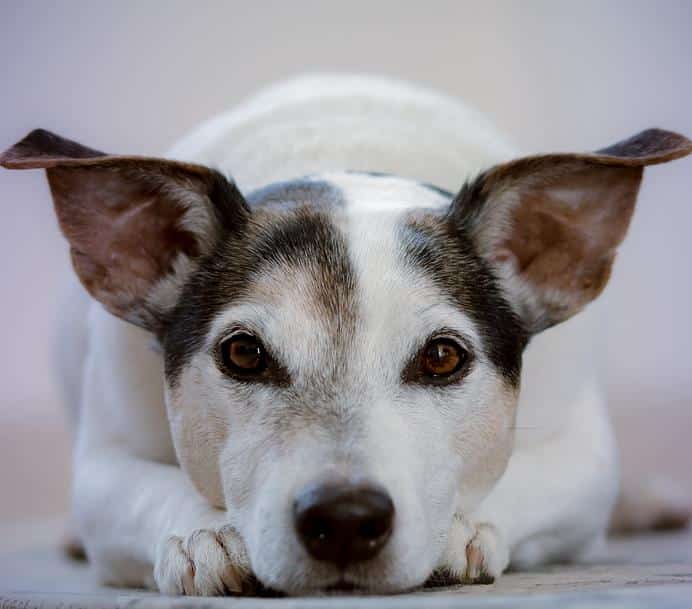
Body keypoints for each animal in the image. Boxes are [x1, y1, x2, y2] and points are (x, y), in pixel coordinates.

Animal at [2, 76, 688, 592]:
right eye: (243, 353)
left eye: (443, 357)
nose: (347, 519)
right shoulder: (103, 464)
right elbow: (141, 487)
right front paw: (205, 533)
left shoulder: (584, 457)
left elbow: (528, 478)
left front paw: (462, 527)